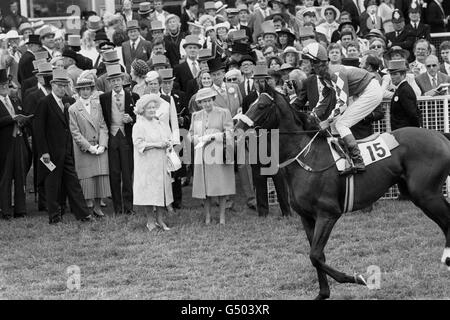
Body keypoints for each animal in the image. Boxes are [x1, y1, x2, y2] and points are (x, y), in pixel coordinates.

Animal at [234, 86, 450, 298]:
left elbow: (314, 256)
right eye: (250, 103)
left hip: (426, 194)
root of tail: (440, 136)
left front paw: (357, 278)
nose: (237, 129)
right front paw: (323, 293)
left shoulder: (328, 214)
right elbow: (318, 255)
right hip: (421, 194)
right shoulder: (307, 217)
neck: (305, 156)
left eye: (261, 106)